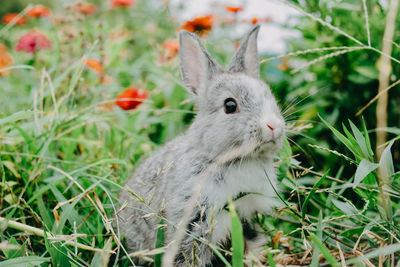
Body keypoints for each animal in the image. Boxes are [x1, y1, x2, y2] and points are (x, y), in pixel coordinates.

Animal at [117, 24, 286, 266]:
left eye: (270, 97)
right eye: (230, 105)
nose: (273, 126)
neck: (233, 159)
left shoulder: (247, 215)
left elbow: (250, 240)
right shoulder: (194, 221)